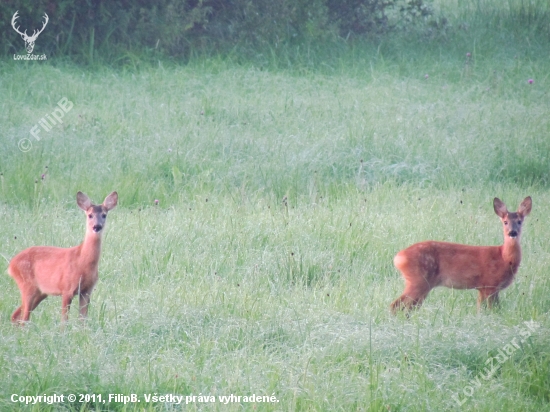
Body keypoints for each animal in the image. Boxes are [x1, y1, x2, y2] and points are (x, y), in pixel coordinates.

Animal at [8, 192, 118, 324]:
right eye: (90, 215)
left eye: (104, 215)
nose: (97, 226)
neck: (82, 261)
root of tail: (11, 265)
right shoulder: (67, 289)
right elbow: (64, 321)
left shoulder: (86, 291)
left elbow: (83, 321)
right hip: (27, 285)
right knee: (24, 318)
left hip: (40, 292)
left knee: (15, 315)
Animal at [392, 198, 536, 314]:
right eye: (505, 222)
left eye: (520, 221)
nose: (512, 232)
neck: (504, 258)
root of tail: (399, 257)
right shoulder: (489, 284)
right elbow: (490, 310)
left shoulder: (484, 288)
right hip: (418, 280)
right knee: (396, 305)